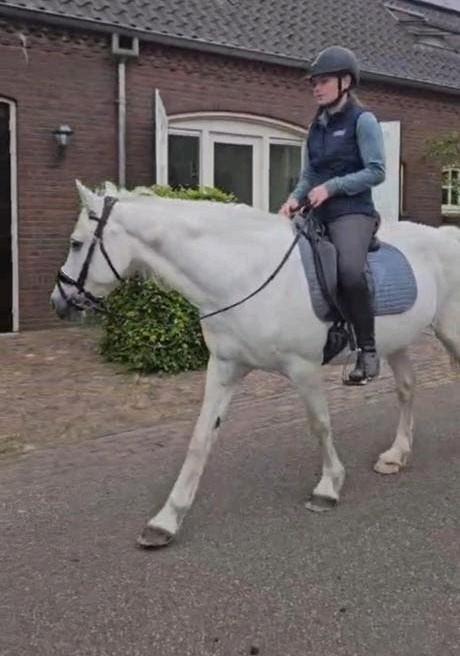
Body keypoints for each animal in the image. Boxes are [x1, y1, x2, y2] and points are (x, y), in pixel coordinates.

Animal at [50, 181, 460, 548]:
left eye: (76, 243)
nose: (59, 300)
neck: (243, 272)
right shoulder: (225, 368)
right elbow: (200, 438)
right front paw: (166, 520)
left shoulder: (304, 368)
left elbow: (320, 425)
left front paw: (328, 487)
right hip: (397, 342)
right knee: (406, 388)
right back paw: (396, 455)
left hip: (449, 332)